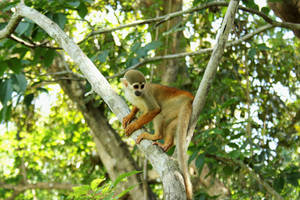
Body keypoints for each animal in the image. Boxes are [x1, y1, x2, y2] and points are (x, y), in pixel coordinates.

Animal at [120, 69, 193, 199]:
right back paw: (168, 143)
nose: (139, 91)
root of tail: (189, 96)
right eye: (136, 86)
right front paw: (131, 115)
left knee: (160, 112)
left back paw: (156, 136)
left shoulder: (146, 95)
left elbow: (155, 110)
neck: (133, 94)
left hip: (176, 103)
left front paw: (134, 125)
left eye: (142, 86)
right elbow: (137, 106)